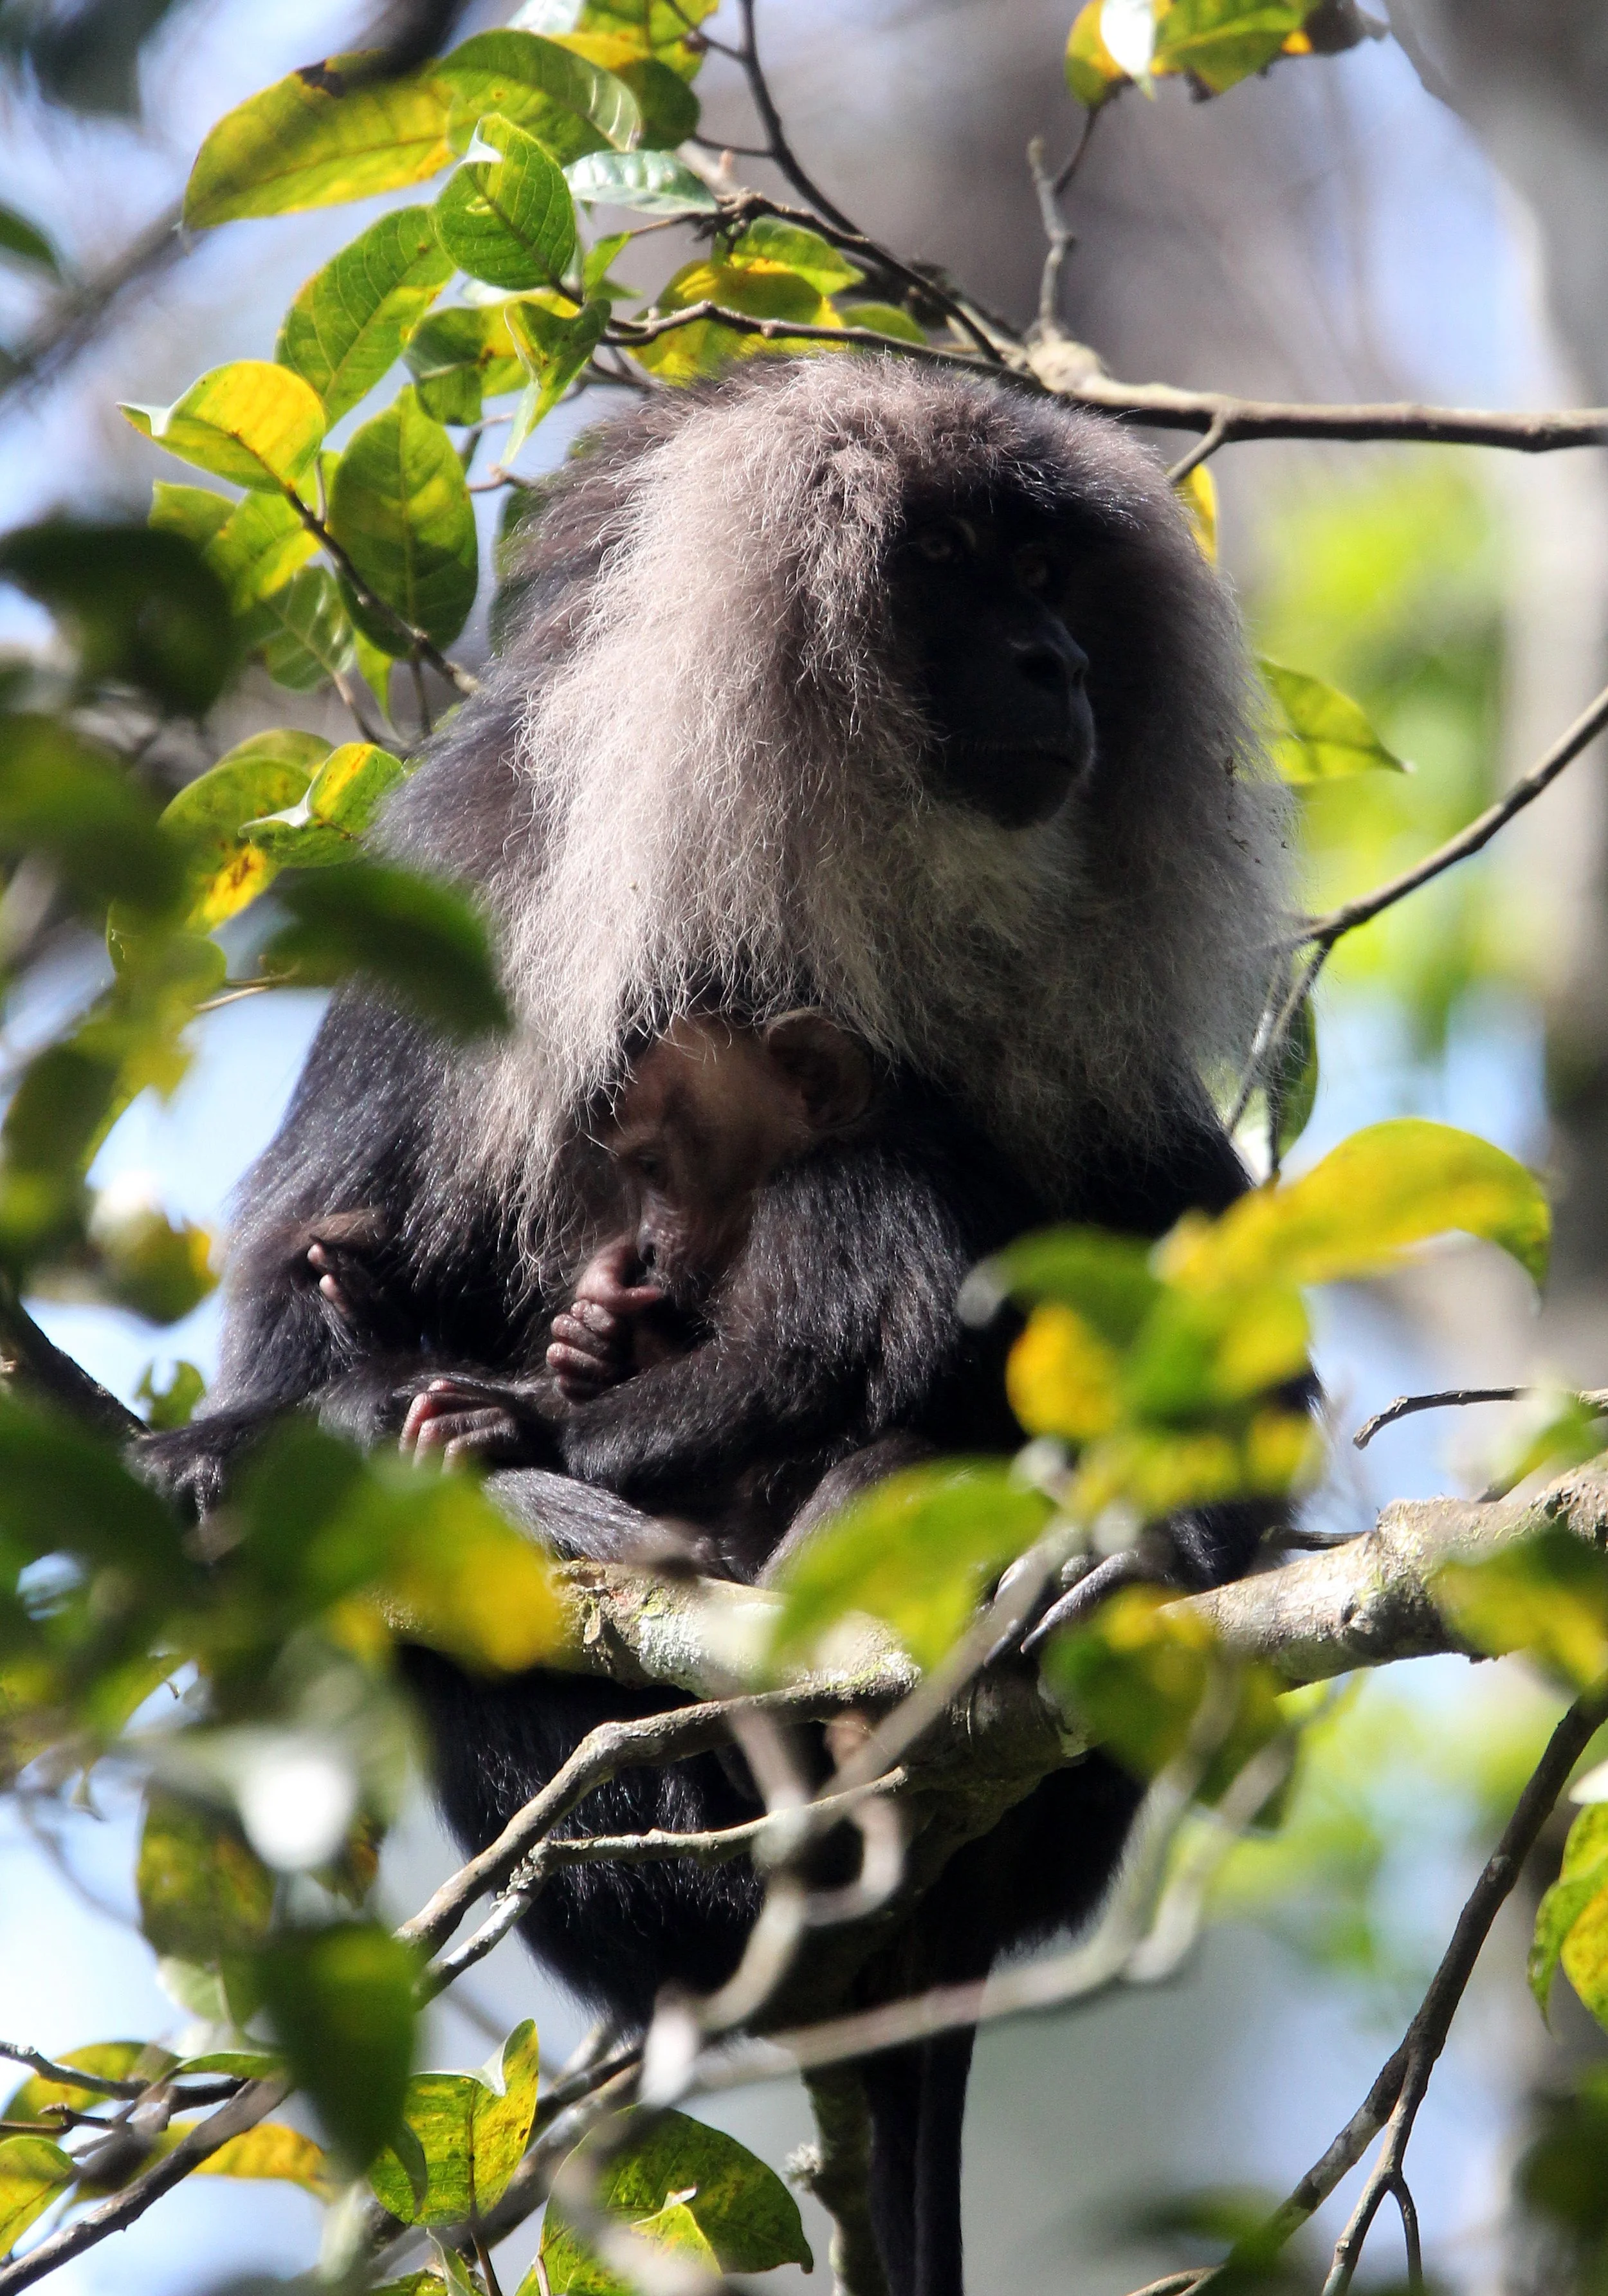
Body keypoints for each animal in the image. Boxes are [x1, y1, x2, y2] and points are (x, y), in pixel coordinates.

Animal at [138, 360, 1293, 2296]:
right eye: (953, 569)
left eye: (1043, 572)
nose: (1055, 661)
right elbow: (301, 1329)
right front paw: (345, 1423)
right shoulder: (473, 884)